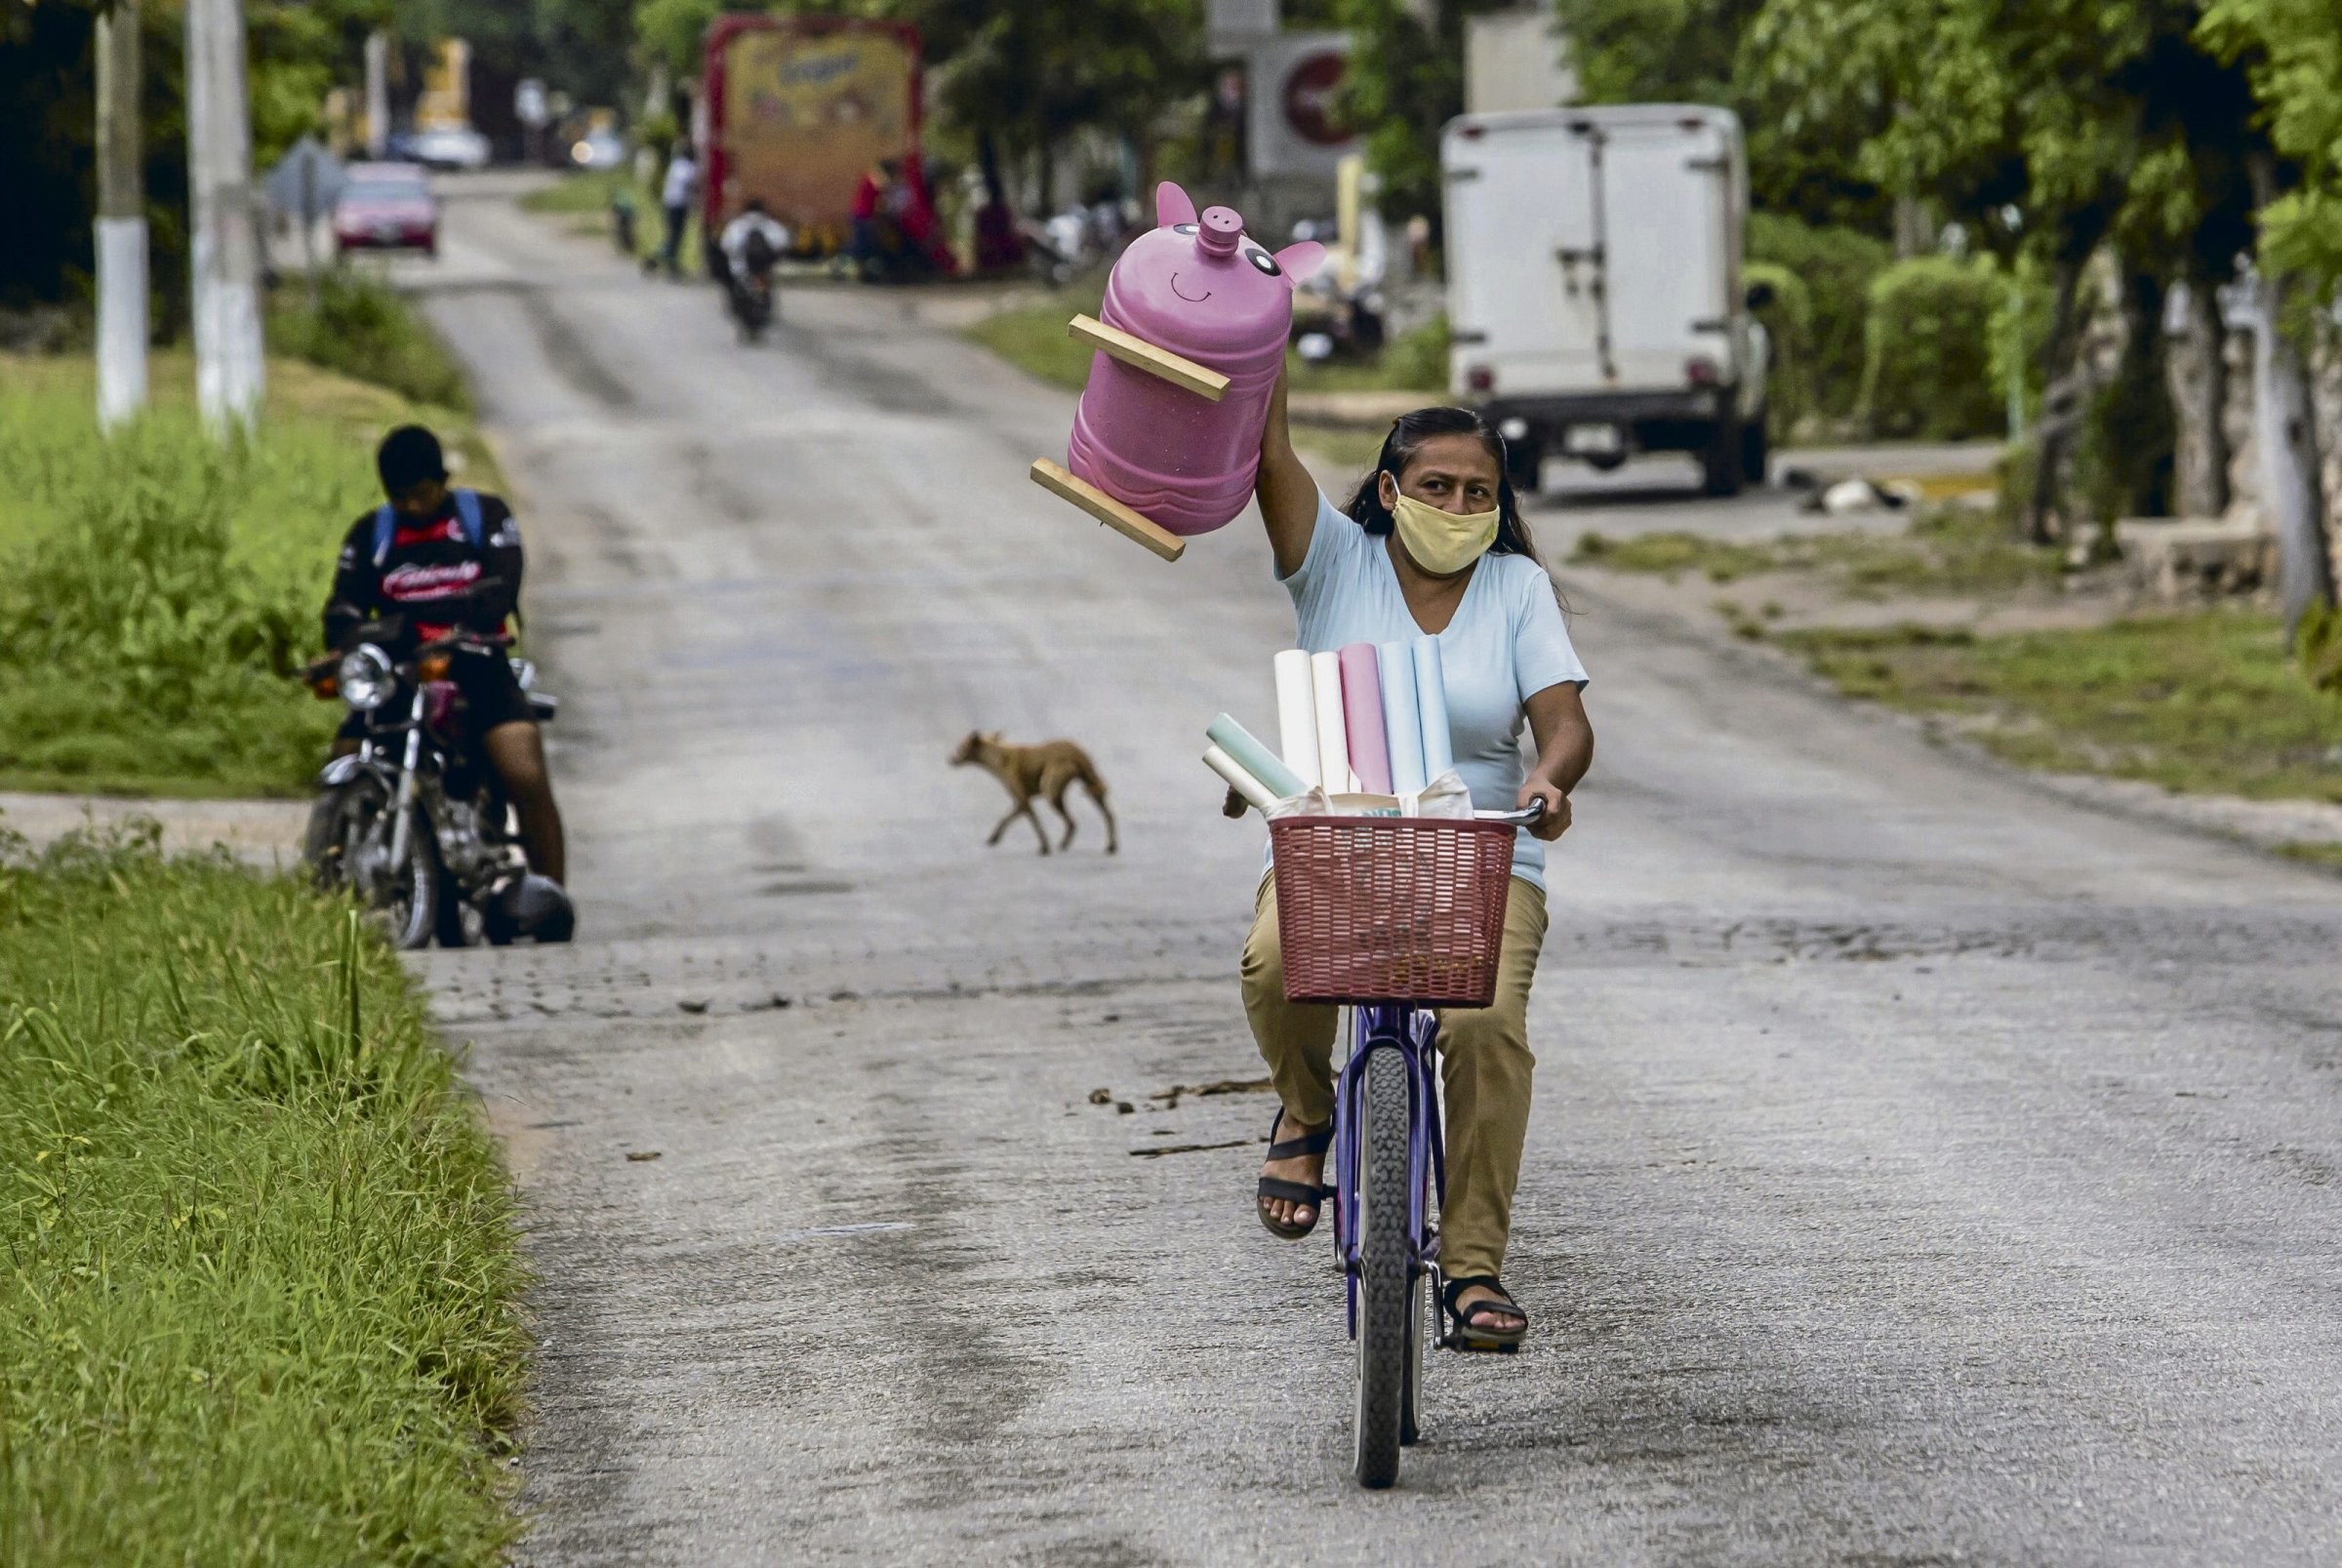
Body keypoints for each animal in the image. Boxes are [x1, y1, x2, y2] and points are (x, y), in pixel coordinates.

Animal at [960, 735, 1124, 861]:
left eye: (960, 747)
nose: (953, 759)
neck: (999, 758)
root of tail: (1079, 753)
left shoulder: (1022, 797)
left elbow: (1033, 821)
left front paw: (1044, 847)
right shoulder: (1020, 800)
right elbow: (1007, 818)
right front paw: (993, 838)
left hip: (1051, 786)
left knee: (1072, 821)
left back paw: (1064, 844)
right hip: (1089, 782)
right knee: (1106, 814)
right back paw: (1110, 846)